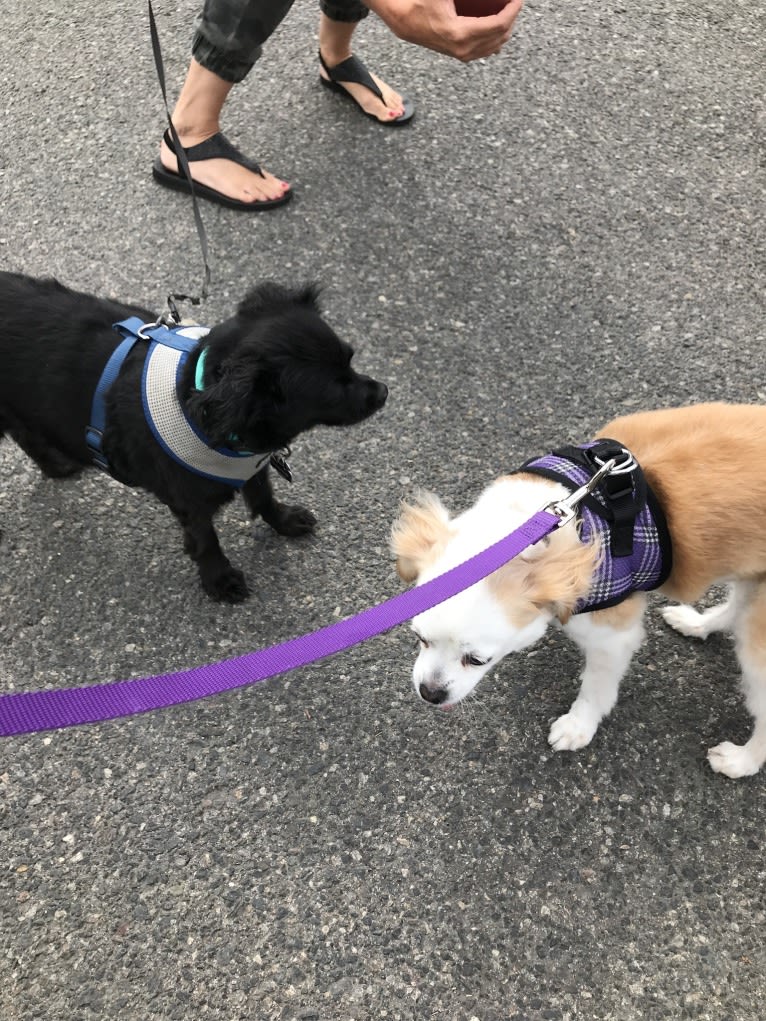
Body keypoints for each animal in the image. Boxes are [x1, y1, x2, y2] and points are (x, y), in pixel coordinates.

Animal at [0, 275, 386, 600]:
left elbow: (264, 497)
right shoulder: (189, 503)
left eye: (350, 359)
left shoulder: (253, 465)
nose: (383, 391)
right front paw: (220, 579)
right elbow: (206, 541)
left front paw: (285, 521)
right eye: (334, 388)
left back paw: (57, 466)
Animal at [392, 402, 766, 775]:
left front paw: (578, 725)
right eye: (420, 639)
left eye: (477, 659)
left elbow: (596, 687)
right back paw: (699, 624)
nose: (430, 693)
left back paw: (741, 761)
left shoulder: (613, 635)